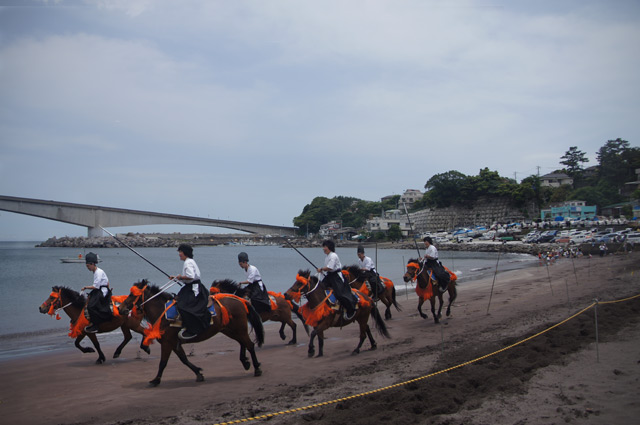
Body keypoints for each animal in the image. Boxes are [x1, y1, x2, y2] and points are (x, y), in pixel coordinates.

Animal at [117, 280, 262, 386]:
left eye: (132, 295)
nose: (120, 308)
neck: (162, 312)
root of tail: (240, 300)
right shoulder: (174, 343)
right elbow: (184, 359)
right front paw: (198, 373)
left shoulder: (167, 343)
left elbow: (163, 362)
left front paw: (156, 380)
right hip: (229, 329)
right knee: (243, 343)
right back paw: (245, 362)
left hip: (238, 328)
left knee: (249, 345)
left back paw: (256, 368)